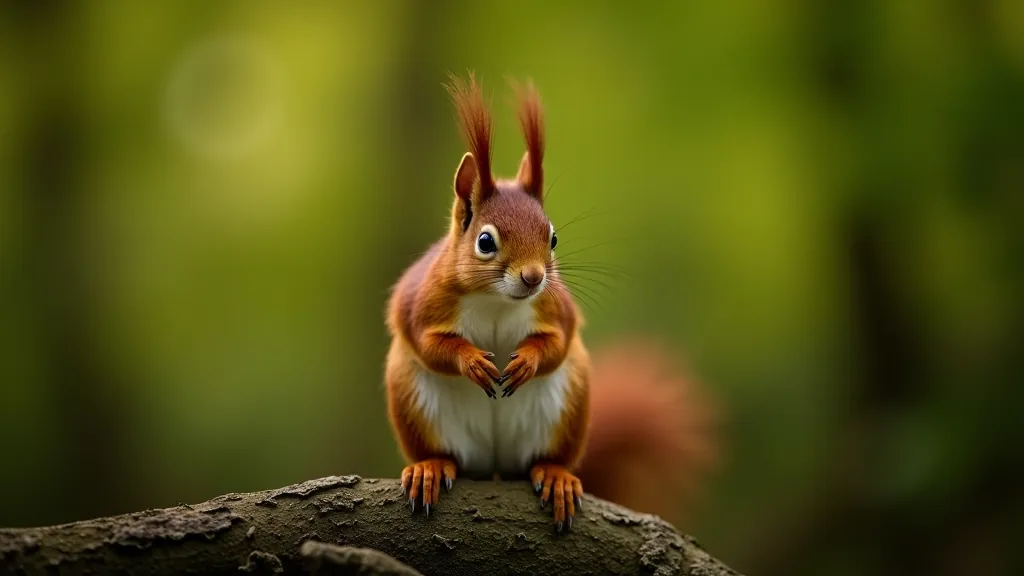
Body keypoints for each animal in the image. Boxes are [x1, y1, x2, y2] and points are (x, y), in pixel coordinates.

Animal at [384, 73, 718, 532]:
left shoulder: (557, 310)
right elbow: (427, 343)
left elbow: (557, 342)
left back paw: (555, 475)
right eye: (485, 242)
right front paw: (471, 361)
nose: (534, 277)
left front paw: (527, 361)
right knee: (441, 449)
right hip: (412, 397)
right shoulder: (423, 303)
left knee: (544, 458)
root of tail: (493, 463)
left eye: (553, 238)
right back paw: (431, 466)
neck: (497, 301)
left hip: (568, 403)